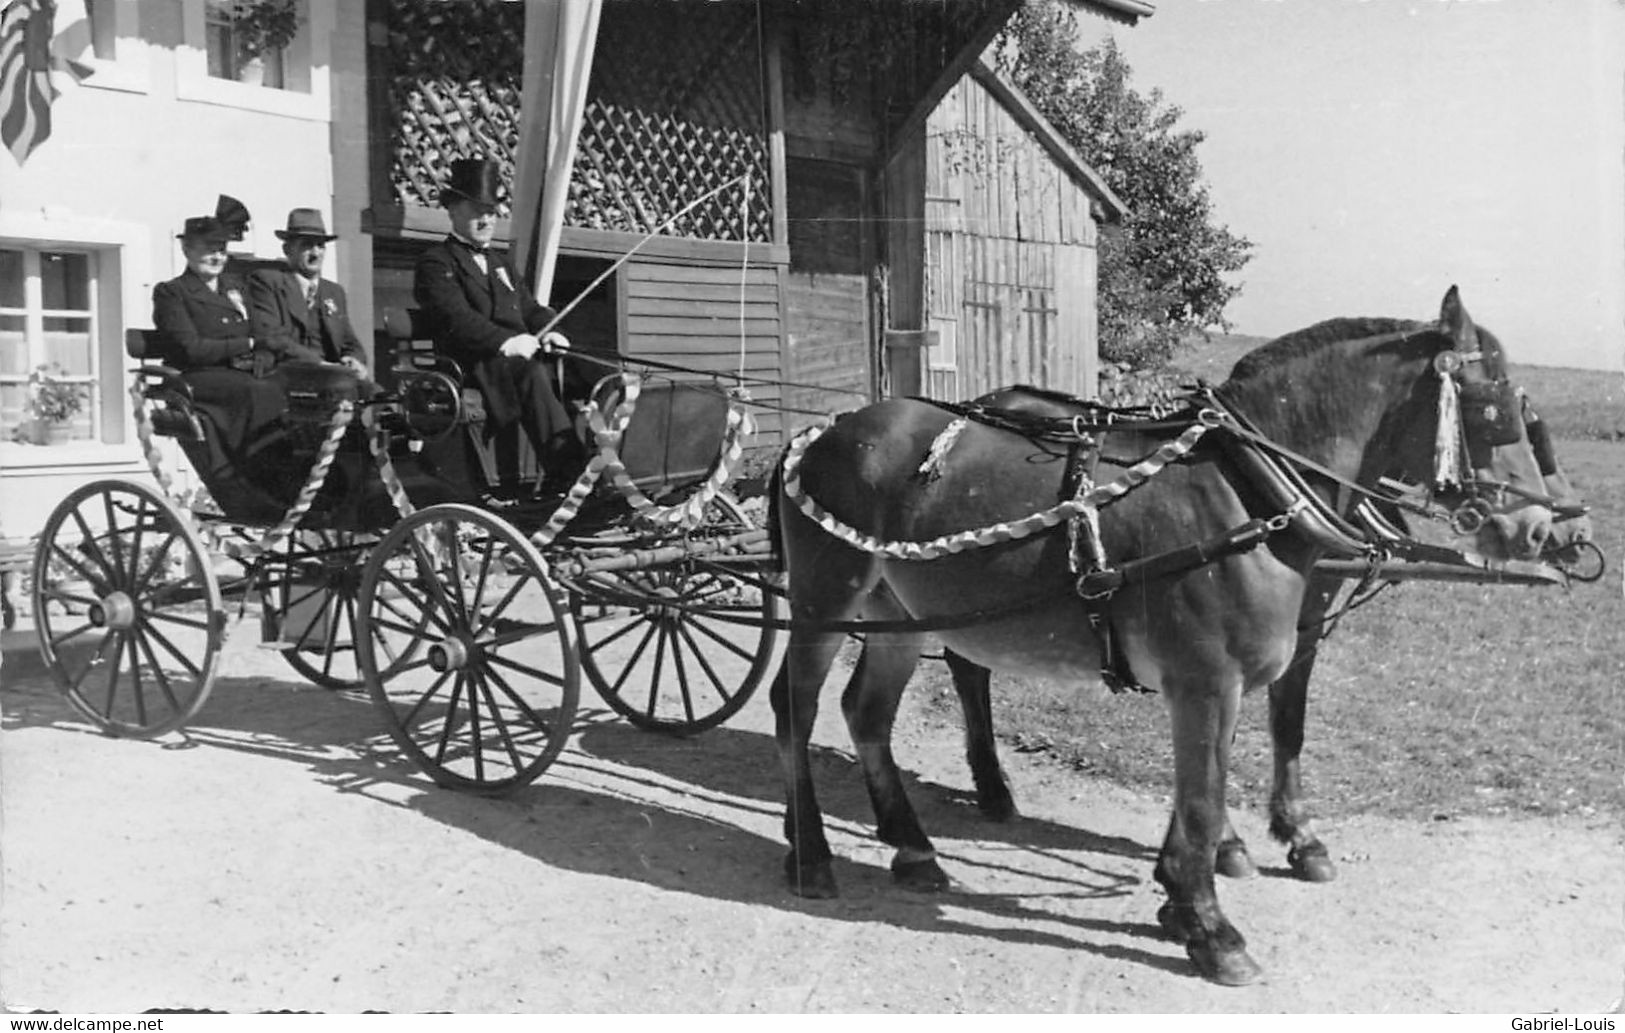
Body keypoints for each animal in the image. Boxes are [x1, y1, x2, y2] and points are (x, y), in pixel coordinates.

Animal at [773, 289, 1560, 987]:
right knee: (795, 709)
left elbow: (1205, 784)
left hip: (897, 614)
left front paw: (1183, 901)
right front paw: (1213, 929)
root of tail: (821, 431)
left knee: (866, 713)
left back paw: (911, 847)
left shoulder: (1225, 681)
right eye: (1493, 406)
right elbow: (1205, 797)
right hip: (823, 602)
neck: (1252, 491)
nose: (1537, 530)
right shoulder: (1205, 681)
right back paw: (811, 854)